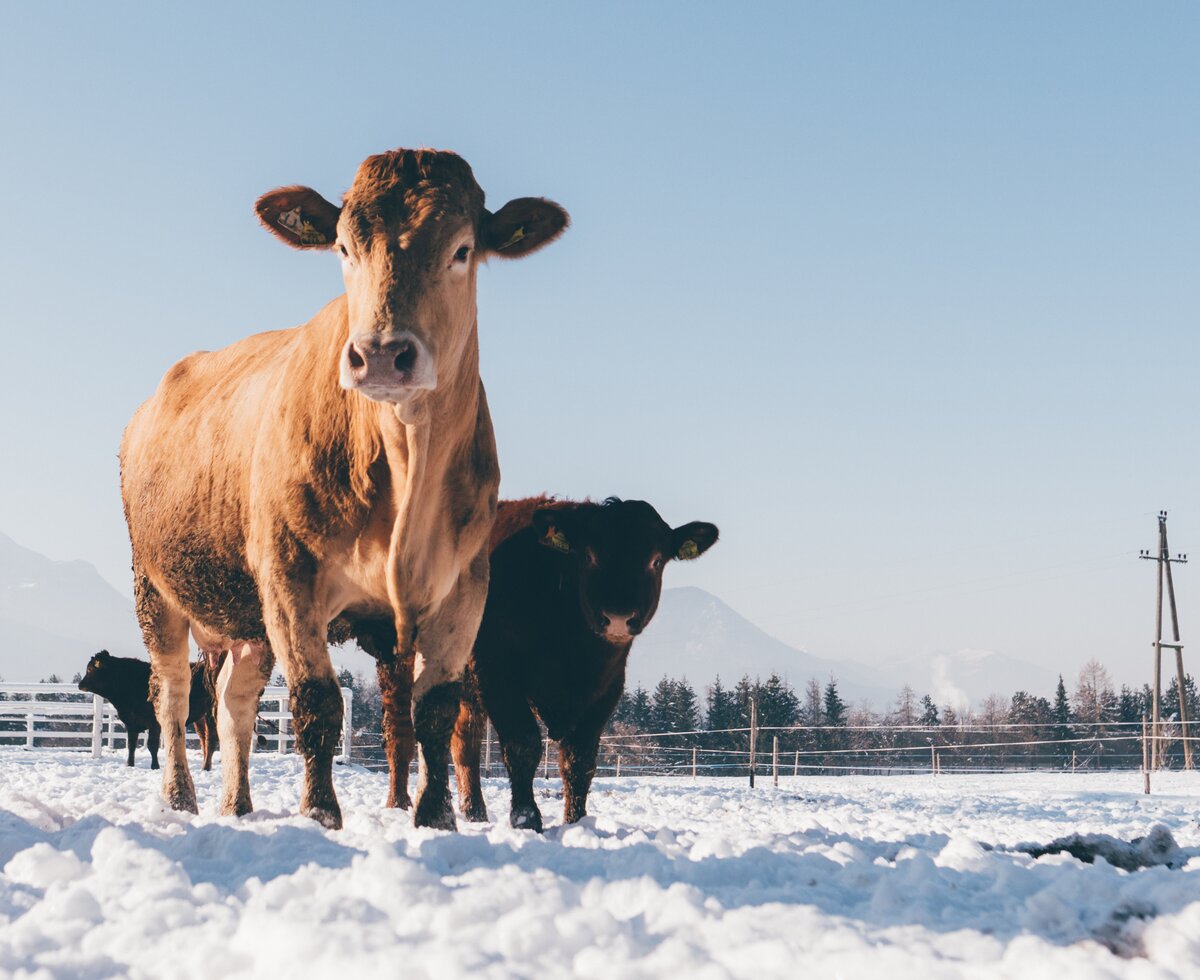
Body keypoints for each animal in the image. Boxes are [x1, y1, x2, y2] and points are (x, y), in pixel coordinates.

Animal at [78, 652, 224, 767]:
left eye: (90, 669)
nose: (80, 684)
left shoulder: (154, 723)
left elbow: (152, 745)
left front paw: (155, 766)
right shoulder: (131, 723)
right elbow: (131, 745)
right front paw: (129, 764)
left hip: (212, 714)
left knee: (211, 740)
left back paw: (206, 767)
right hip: (200, 719)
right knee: (204, 740)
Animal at [121, 146, 566, 825]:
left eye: (462, 249)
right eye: (343, 247)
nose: (380, 353)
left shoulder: (464, 589)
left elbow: (434, 713)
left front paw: (435, 816)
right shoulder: (289, 578)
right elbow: (317, 702)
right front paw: (320, 814)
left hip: (249, 623)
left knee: (233, 702)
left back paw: (238, 804)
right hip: (156, 586)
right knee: (170, 693)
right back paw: (180, 798)